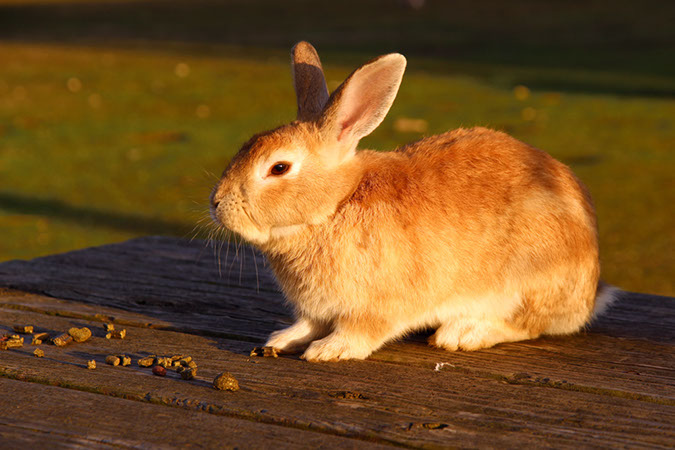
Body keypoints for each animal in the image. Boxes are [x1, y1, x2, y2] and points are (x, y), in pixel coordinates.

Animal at [210, 41, 618, 362]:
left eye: (279, 168)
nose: (216, 203)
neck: (336, 205)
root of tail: (590, 287)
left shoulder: (376, 307)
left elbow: (360, 332)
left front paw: (329, 350)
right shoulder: (315, 310)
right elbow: (307, 324)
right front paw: (282, 339)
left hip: (528, 279)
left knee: (527, 325)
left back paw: (462, 333)